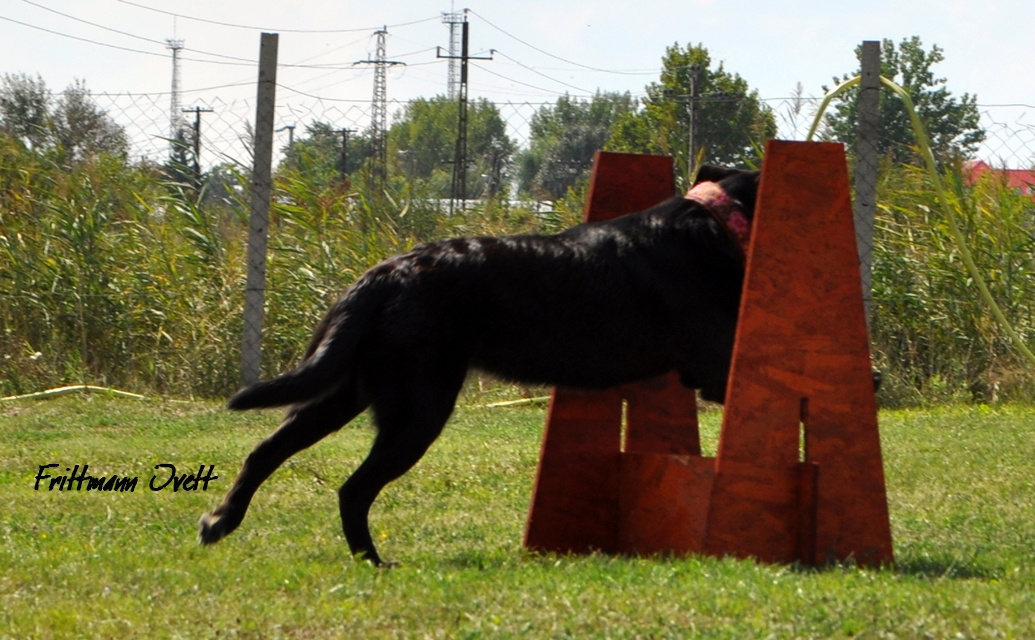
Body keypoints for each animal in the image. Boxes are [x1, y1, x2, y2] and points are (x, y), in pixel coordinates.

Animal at [199, 164, 761, 563]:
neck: (719, 225)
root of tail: (385, 272)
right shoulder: (716, 370)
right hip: (419, 408)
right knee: (353, 488)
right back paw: (373, 562)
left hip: (347, 391)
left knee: (267, 450)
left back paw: (220, 522)